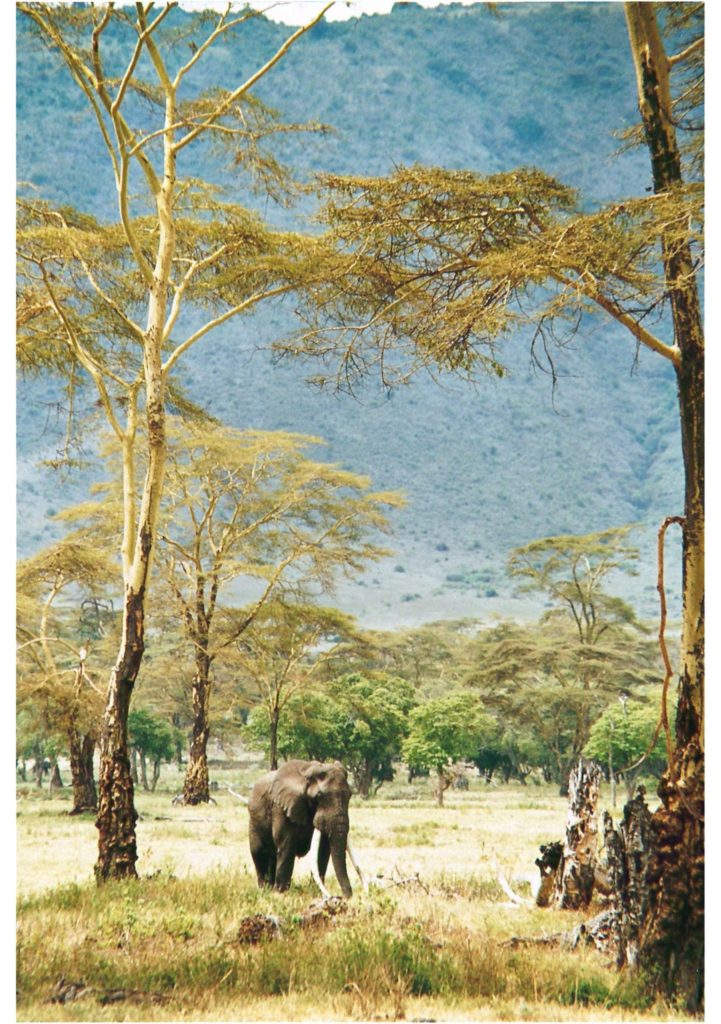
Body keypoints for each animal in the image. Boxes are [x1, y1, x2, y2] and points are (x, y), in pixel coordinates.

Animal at [247, 761, 362, 897]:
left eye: (350, 795)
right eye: (318, 796)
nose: (343, 897)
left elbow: (323, 849)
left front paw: (316, 891)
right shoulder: (281, 807)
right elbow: (287, 844)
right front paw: (281, 893)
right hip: (254, 821)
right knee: (259, 851)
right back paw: (265, 889)